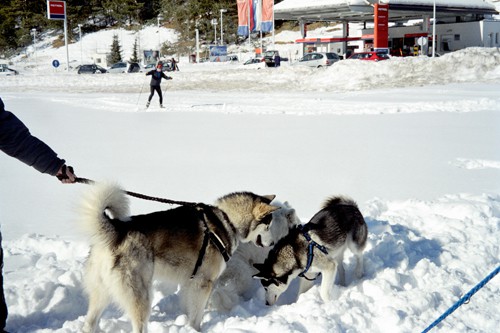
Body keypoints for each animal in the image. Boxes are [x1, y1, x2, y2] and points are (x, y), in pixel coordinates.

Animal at [79, 183, 280, 330]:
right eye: (268, 226)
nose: (272, 244)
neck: (226, 219)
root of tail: (116, 230)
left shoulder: (191, 282)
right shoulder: (203, 283)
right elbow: (197, 315)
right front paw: (195, 329)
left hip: (102, 293)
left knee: (89, 324)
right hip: (140, 295)